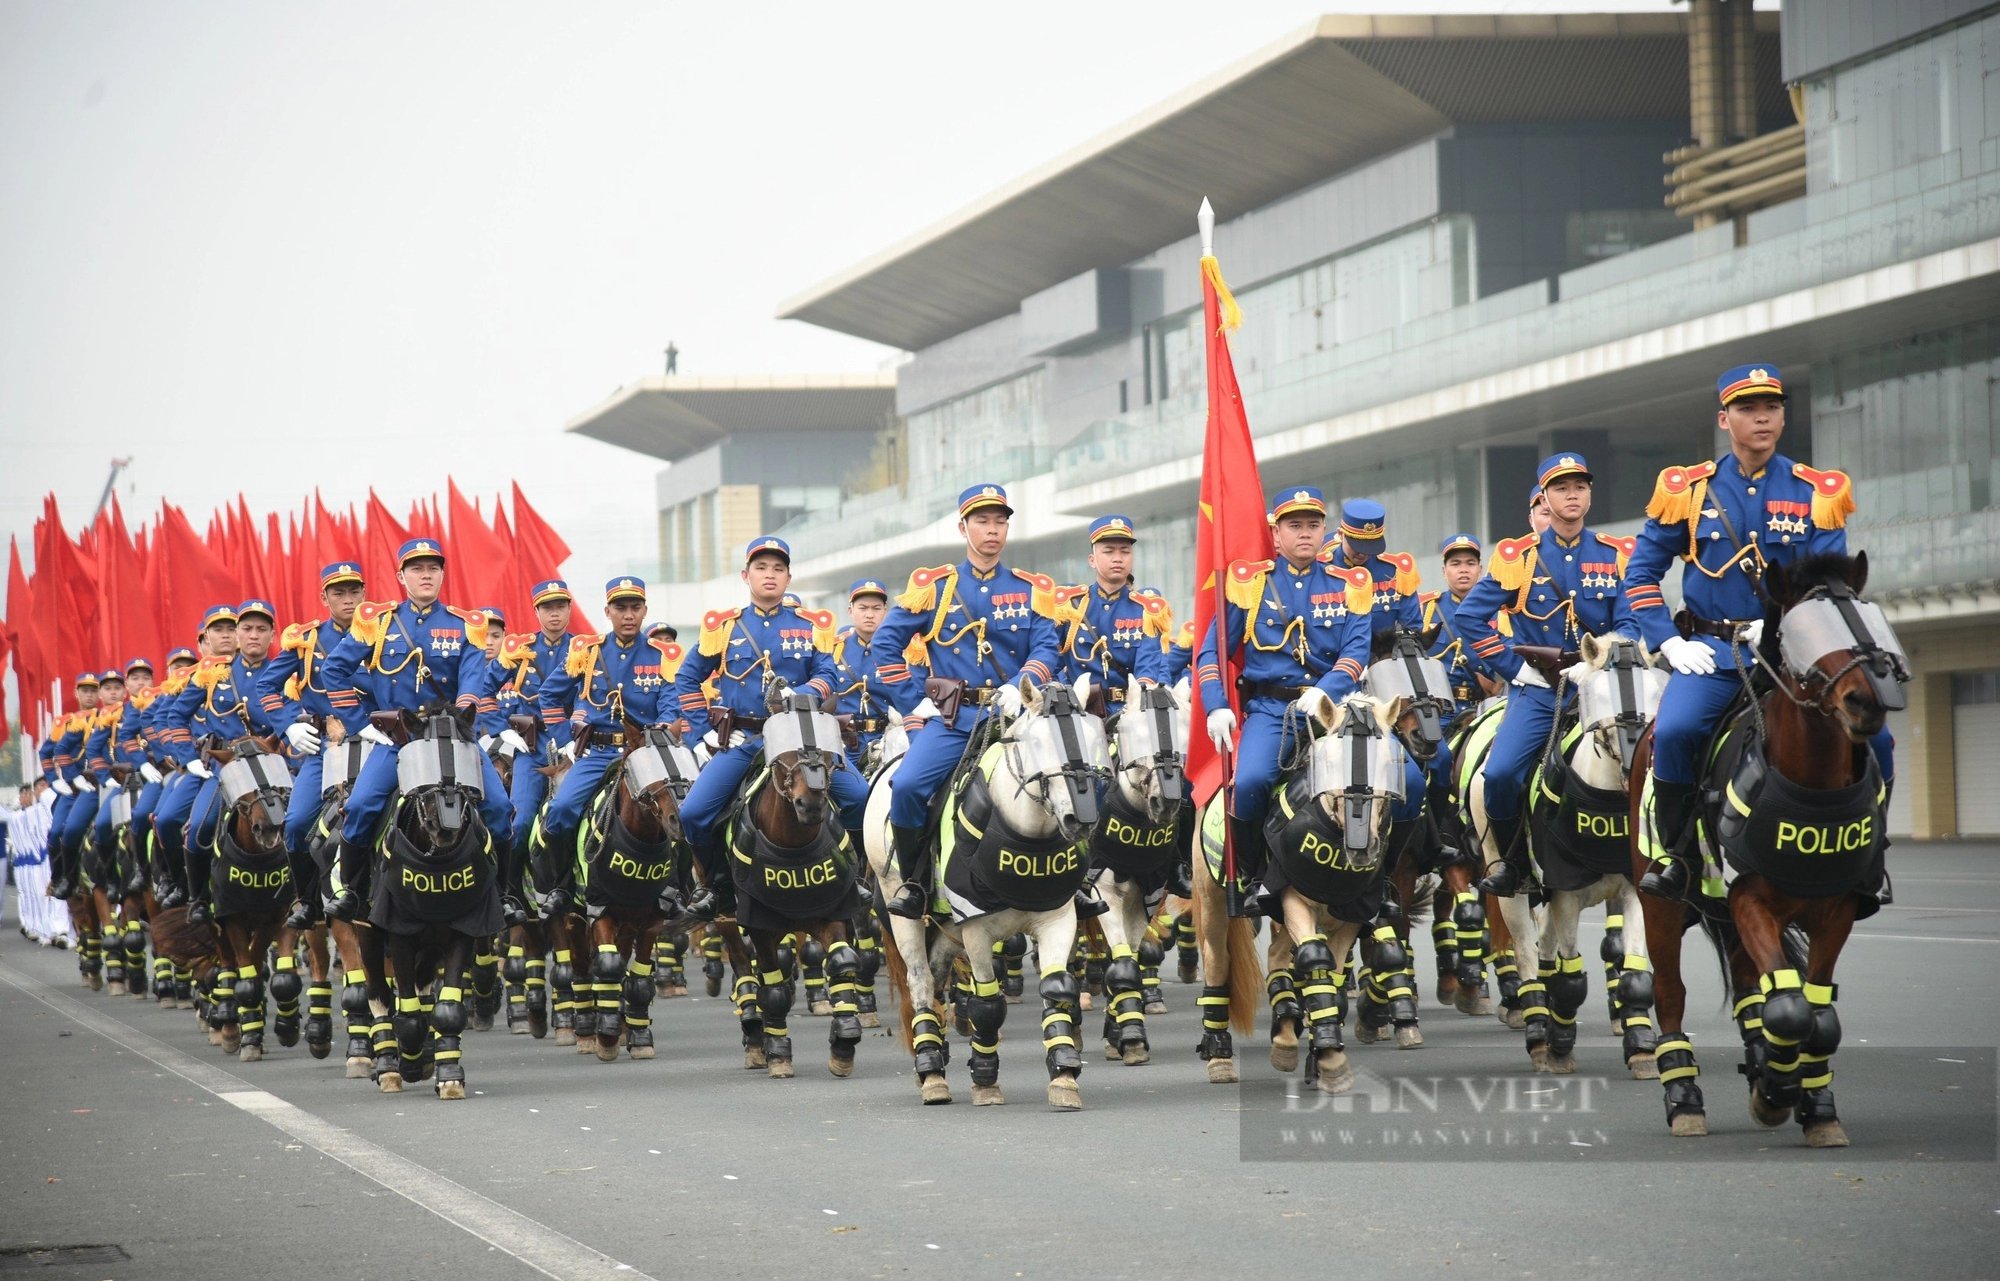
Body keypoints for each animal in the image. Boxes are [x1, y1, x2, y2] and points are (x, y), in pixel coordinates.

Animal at [864, 676, 1112, 1104]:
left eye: (1090, 736)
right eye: (1037, 742)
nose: (1078, 819)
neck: (1027, 836)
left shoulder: (1058, 919)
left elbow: (1057, 987)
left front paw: (1064, 1072)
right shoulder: (977, 931)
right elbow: (987, 1005)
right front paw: (984, 1078)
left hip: (948, 926)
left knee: (936, 978)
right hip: (903, 911)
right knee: (920, 981)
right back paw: (931, 1071)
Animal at [1488, 636, 1672, 1072]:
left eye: (1656, 691)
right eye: (1598, 695)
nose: (1635, 763)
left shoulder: (1632, 891)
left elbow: (1634, 972)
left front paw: (1641, 1045)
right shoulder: (1565, 896)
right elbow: (1569, 979)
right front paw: (1559, 1045)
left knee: (1544, 950)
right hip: (1513, 892)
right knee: (1527, 955)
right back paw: (1538, 1033)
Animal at [1632, 552, 1896, 1152]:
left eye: (1864, 614)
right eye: (1802, 630)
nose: (1866, 700)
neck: (1811, 783)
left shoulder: (1837, 909)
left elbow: (1817, 1017)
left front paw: (1812, 1103)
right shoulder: (1752, 898)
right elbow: (1791, 1010)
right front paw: (1777, 1092)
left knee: (1752, 987)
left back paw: (1760, 1061)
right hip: (1661, 901)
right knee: (1670, 991)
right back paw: (1685, 1098)